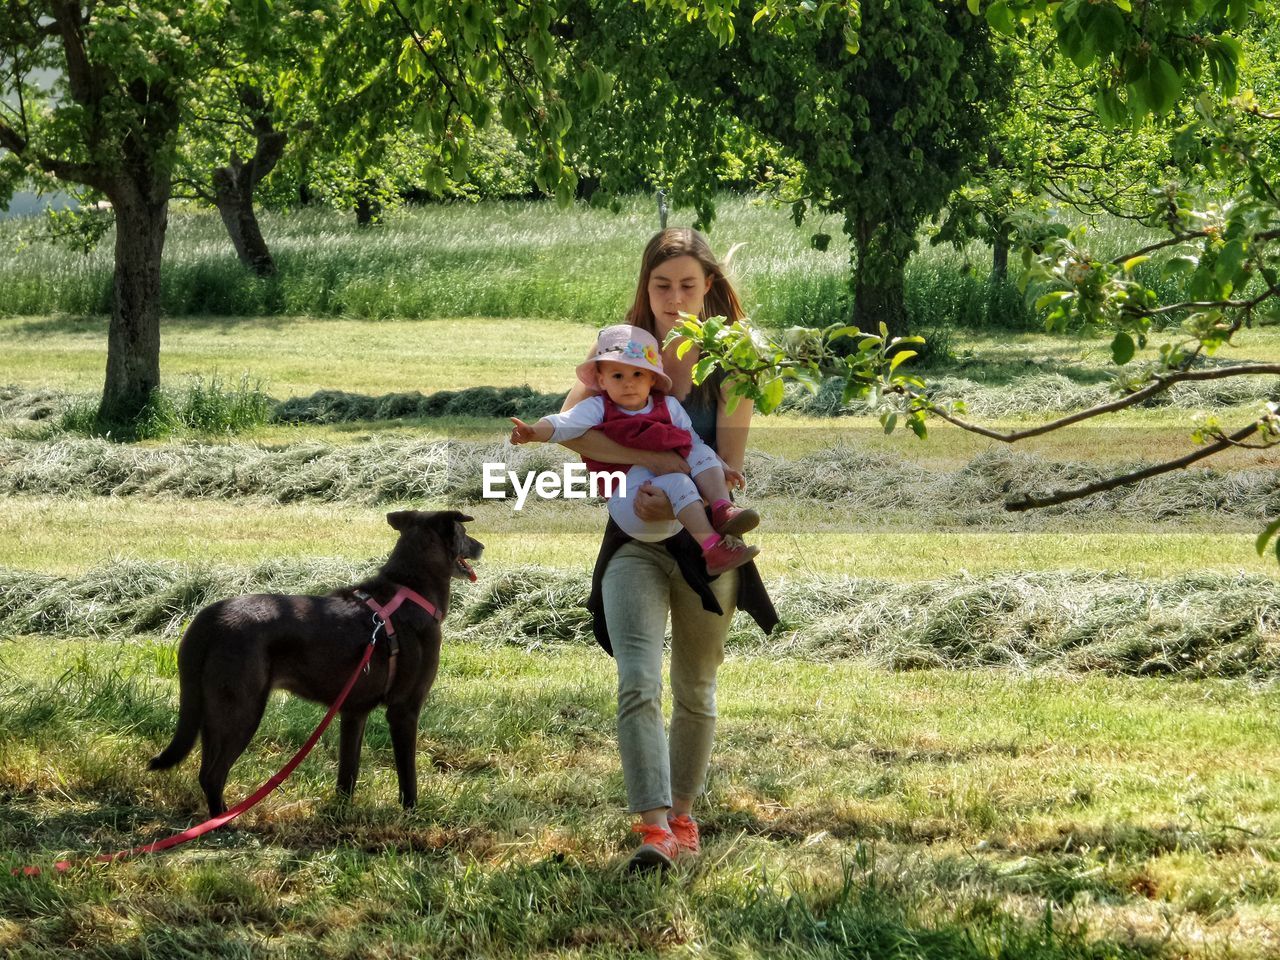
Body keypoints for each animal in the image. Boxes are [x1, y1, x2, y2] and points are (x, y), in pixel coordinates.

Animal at [148, 512, 483, 819]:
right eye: (464, 531)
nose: (481, 546)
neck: (410, 590)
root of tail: (209, 618)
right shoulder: (404, 709)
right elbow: (407, 775)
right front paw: (411, 814)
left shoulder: (353, 712)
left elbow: (347, 773)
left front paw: (341, 813)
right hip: (241, 710)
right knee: (212, 774)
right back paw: (225, 822)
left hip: (211, 712)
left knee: (206, 769)